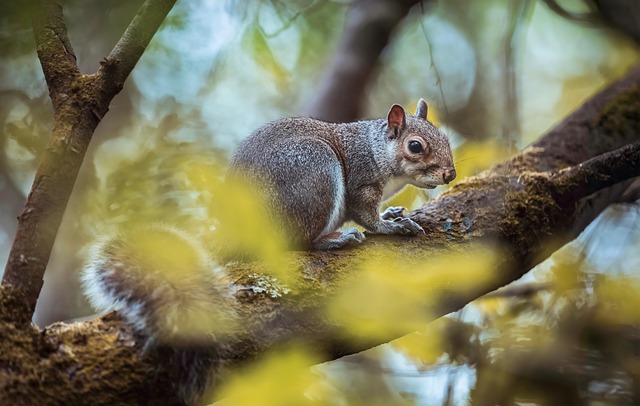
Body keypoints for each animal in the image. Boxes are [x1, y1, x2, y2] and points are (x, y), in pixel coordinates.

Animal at [81, 98, 455, 404]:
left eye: (446, 140)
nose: (450, 174)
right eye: (415, 146)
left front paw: (393, 214)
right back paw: (332, 239)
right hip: (314, 172)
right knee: (297, 241)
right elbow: (367, 216)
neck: (377, 150)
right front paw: (389, 226)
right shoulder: (361, 183)